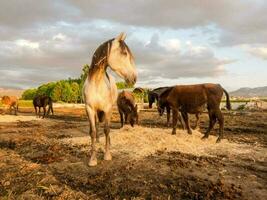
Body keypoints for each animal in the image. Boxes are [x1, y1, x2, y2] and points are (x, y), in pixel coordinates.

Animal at [83, 32, 138, 166]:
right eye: (124, 53)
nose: (134, 78)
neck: (97, 83)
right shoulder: (89, 109)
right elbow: (92, 131)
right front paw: (92, 159)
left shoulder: (108, 109)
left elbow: (107, 130)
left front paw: (107, 155)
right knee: (97, 126)